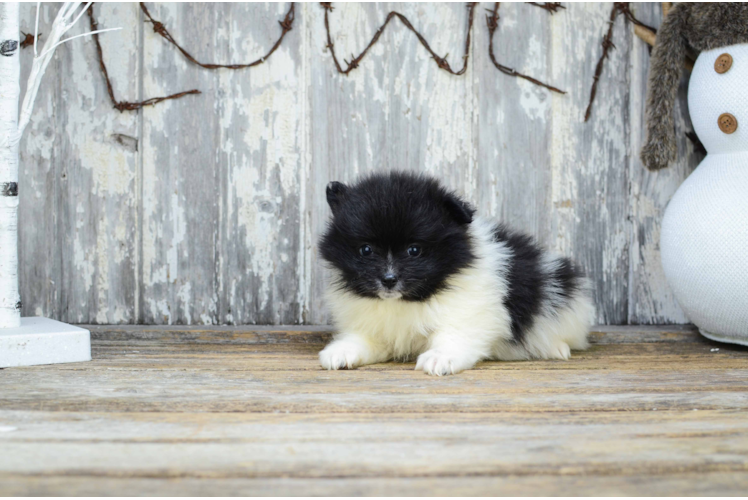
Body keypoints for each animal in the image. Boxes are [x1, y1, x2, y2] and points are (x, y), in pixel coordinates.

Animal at [318, 172, 592, 376]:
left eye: (414, 250)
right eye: (365, 250)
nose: (388, 279)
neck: (410, 299)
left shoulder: (472, 310)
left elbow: (455, 334)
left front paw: (440, 357)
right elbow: (365, 338)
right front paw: (341, 351)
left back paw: (556, 347)